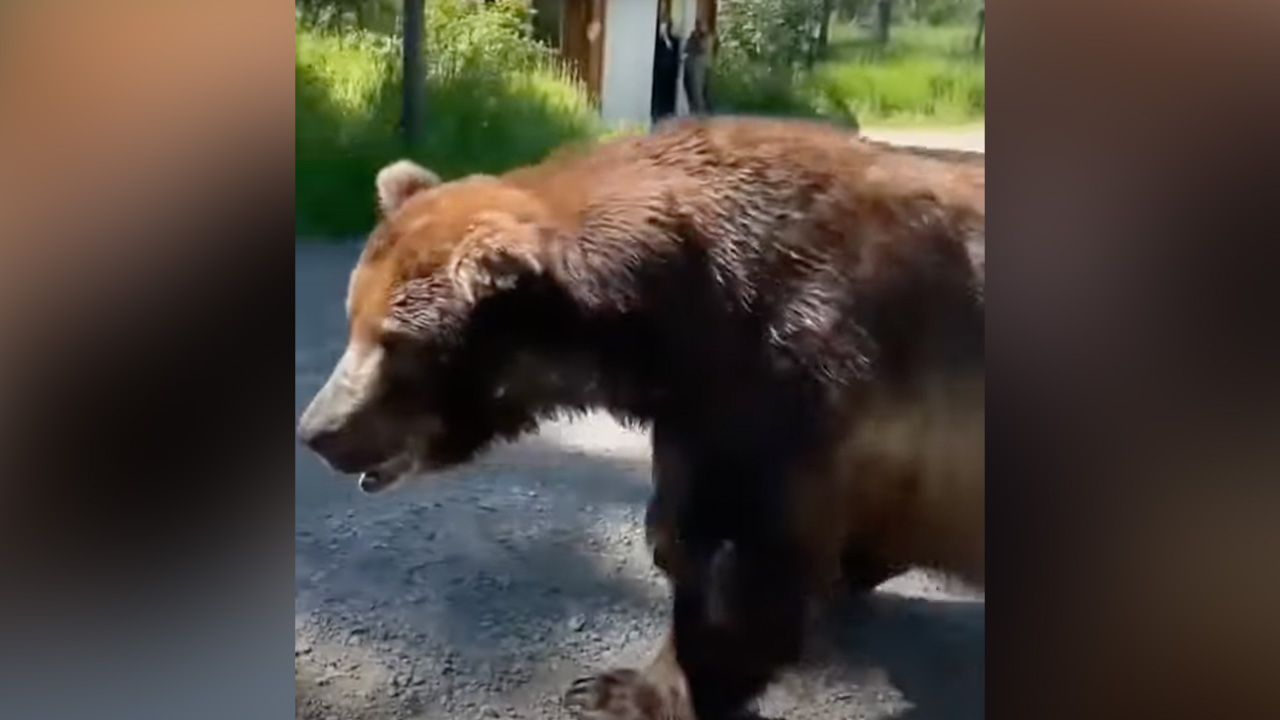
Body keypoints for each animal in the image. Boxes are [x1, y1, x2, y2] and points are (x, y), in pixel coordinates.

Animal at [296, 115, 985, 720]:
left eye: (396, 343)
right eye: (354, 318)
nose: (317, 430)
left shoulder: (797, 370)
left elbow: (741, 557)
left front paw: (627, 689)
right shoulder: (700, 406)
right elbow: (685, 517)